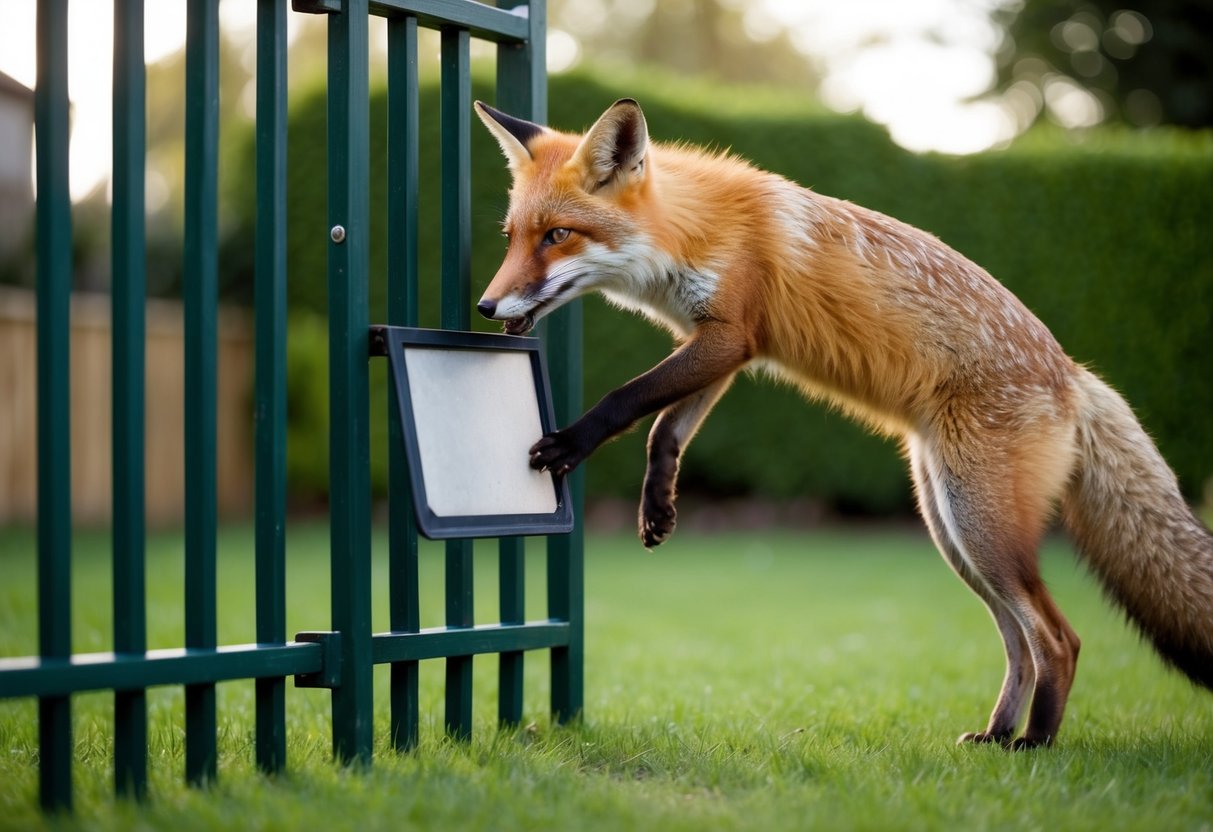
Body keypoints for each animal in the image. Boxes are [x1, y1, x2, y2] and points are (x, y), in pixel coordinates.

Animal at [472, 97, 1213, 749]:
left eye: (557, 236)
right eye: (511, 238)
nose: (484, 306)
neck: (688, 230)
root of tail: (1072, 375)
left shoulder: (729, 334)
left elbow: (627, 400)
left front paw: (571, 443)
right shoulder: (719, 344)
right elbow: (666, 431)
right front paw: (657, 504)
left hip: (980, 525)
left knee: (1058, 639)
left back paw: (1037, 743)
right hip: (952, 528)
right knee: (1019, 645)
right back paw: (998, 735)